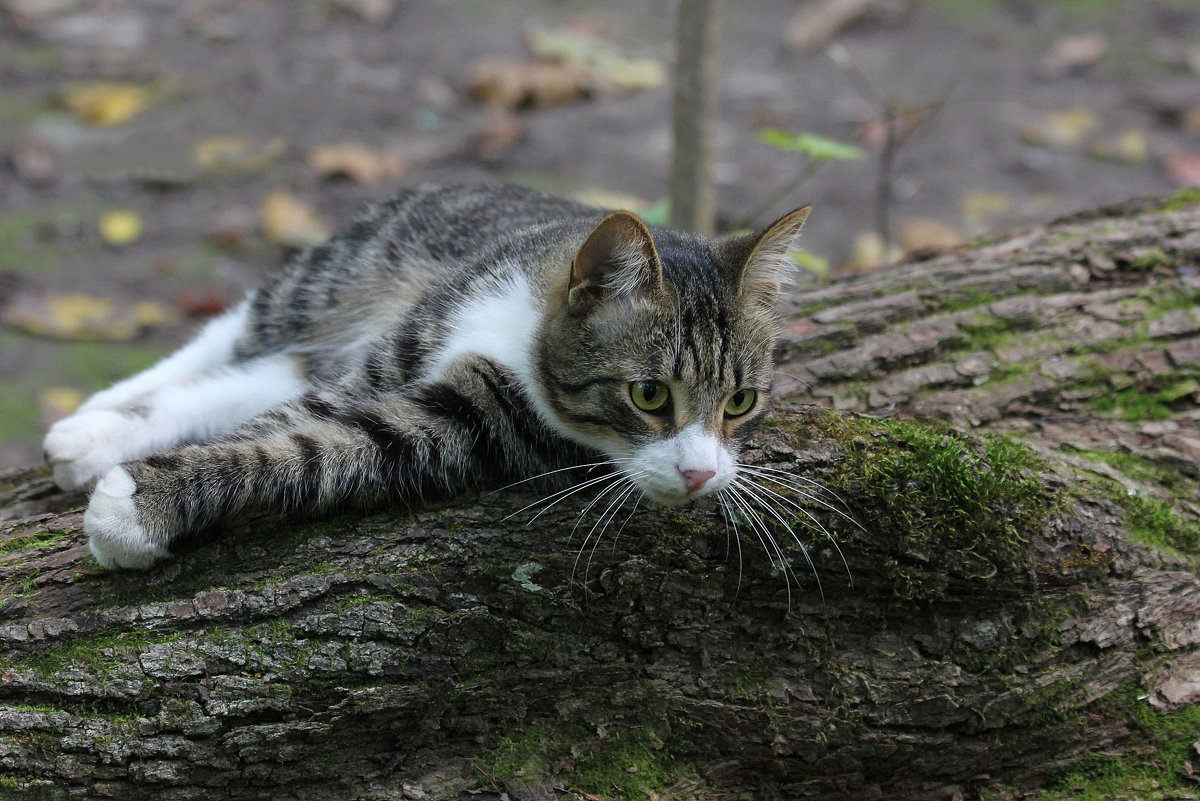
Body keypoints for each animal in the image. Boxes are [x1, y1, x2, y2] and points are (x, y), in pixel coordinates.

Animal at [46, 183, 816, 568]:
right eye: (649, 394)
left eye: (741, 402)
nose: (703, 475)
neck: (524, 327)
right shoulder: (394, 354)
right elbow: (284, 422)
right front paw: (143, 497)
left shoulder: (463, 424)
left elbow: (308, 447)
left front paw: (141, 504)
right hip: (336, 275)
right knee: (233, 334)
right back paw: (94, 419)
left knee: (260, 374)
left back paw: (95, 437)